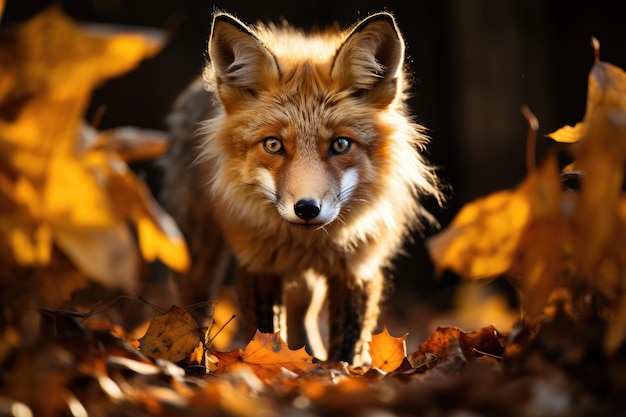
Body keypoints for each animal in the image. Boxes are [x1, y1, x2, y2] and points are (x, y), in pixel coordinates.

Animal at [158, 10, 442, 364]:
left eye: (340, 144)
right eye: (273, 144)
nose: (307, 208)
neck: (307, 243)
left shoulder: (357, 267)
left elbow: (346, 349)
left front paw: (337, 372)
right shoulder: (257, 262)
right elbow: (265, 335)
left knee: (301, 316)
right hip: (198, 258)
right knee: (192, 308)